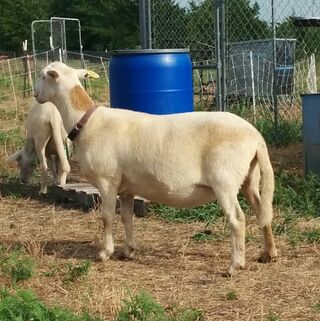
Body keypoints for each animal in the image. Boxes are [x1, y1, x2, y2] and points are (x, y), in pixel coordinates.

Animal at [33, 61, 276, 274]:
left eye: (44, 76)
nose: (35, 94)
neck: (87, 123)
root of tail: (256, 137)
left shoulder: (107, 181)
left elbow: (107, 216)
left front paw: (104, 253)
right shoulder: (126, 187)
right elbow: (127, 217)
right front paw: (128, 250)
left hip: (224, 180)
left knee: (237, 219)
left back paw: (235, 265)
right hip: (249, 177)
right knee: (262, 210)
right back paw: (269, 254)